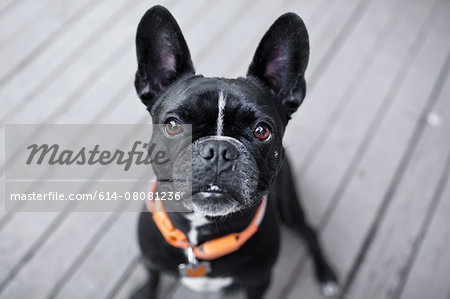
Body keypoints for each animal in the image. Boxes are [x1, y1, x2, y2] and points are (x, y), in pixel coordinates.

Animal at [132, 5, 336, 299]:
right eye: (173, 125)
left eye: (262, 131)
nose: (218, 149)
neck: (202, 237)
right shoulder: (150, 261)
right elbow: (152, 277)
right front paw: (145, 291)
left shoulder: (259, 281)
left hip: (289, 207)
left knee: (309, 230)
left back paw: (327, 275)